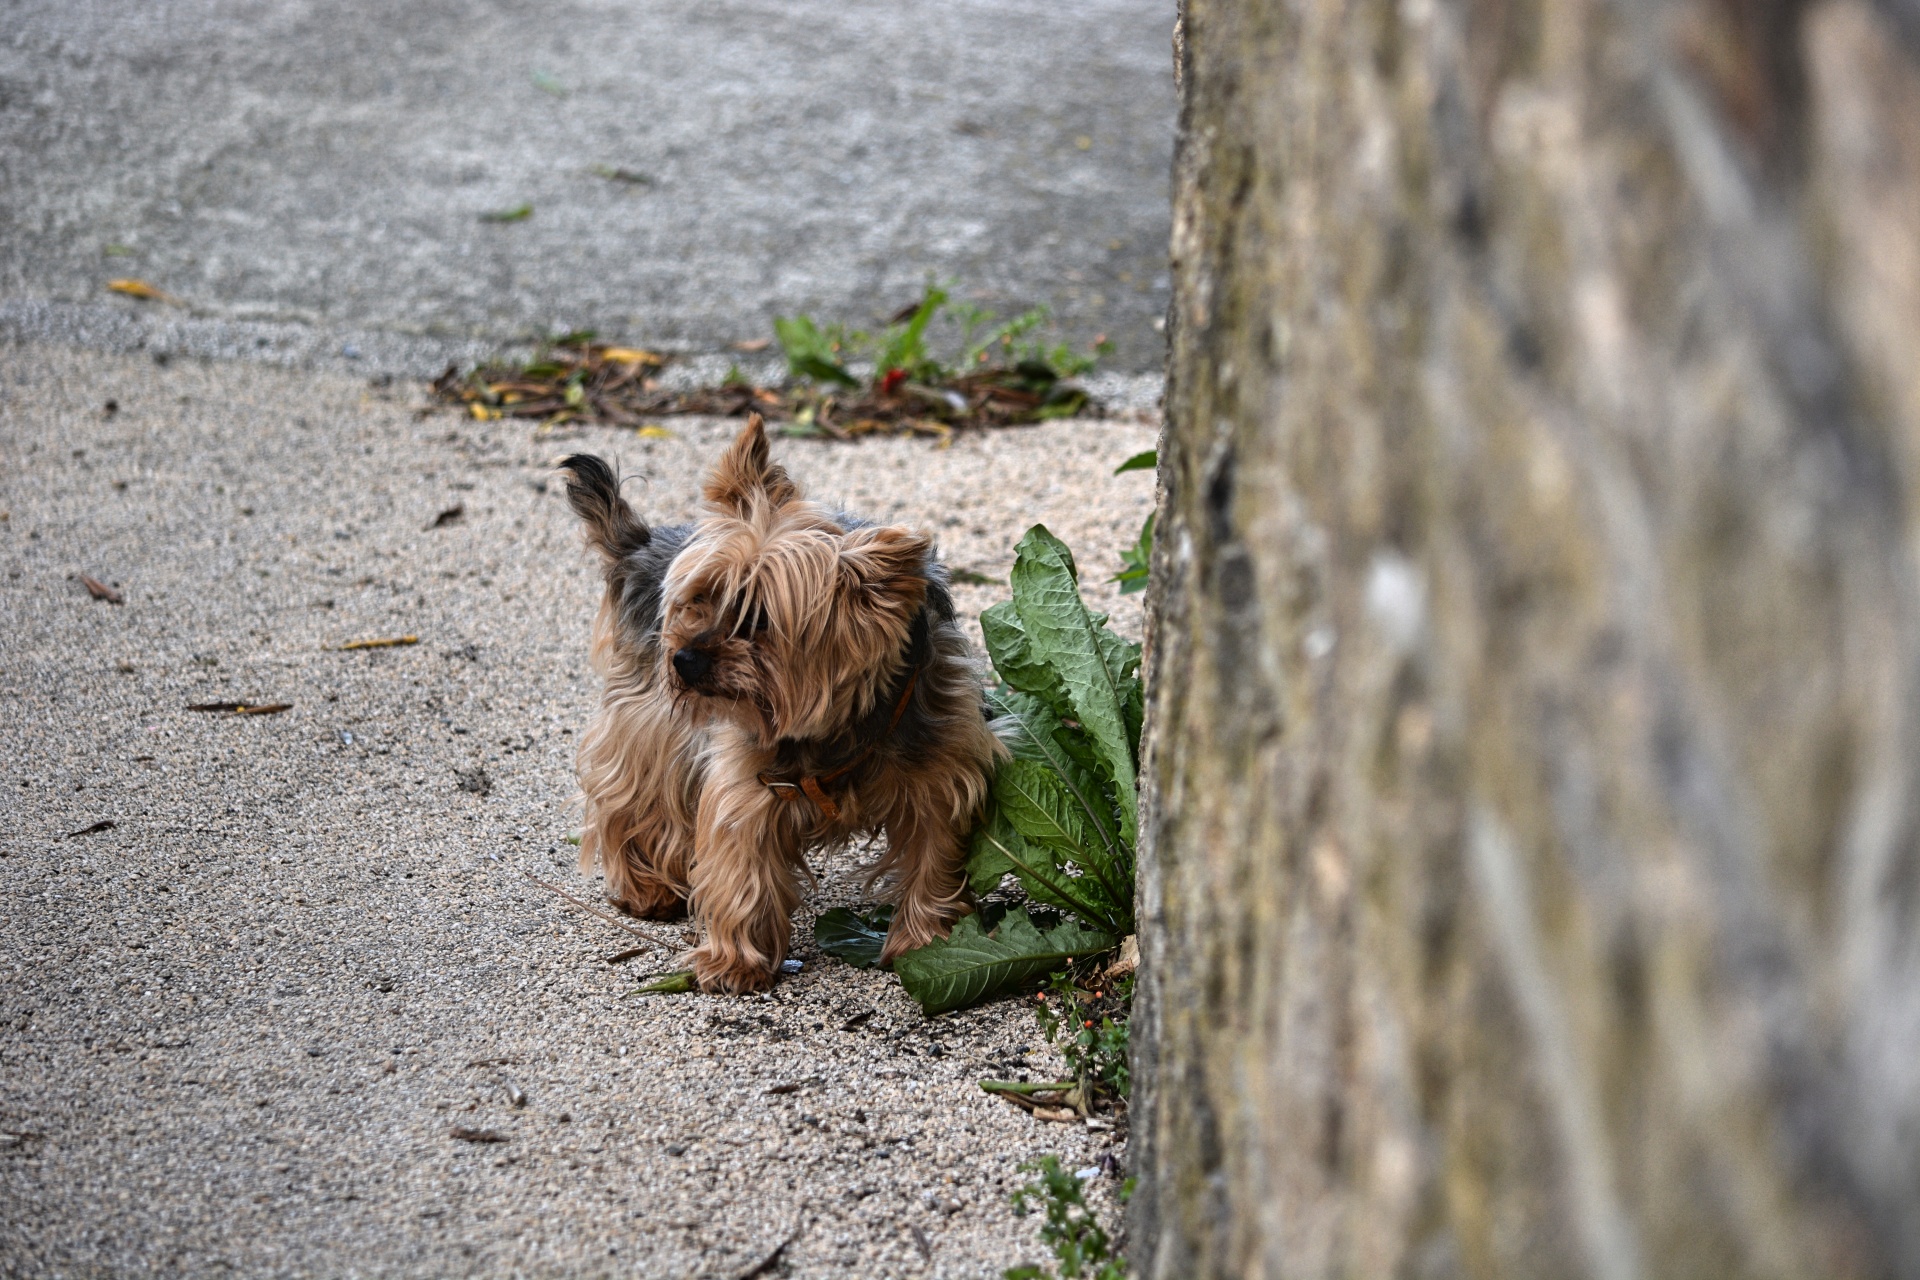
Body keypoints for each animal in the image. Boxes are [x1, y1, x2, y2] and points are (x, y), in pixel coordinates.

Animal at [560, 418, 998, 990]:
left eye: (759, 619)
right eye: (701, 597)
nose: (684, 659)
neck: (840, 724)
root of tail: (641, 545)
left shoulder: (939, 775)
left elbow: (934, 856)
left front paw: (929, 945)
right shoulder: (747, 777)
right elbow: (742, 865)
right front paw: (735, 961)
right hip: (650, 719)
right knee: (635, 795)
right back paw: (646, 888)